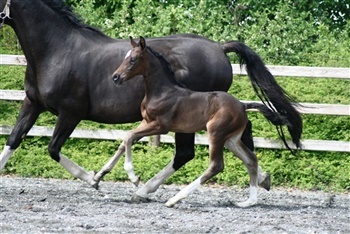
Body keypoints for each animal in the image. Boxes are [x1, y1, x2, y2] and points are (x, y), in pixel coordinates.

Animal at [112, 37, 298, 207]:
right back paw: (247, 202)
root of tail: (242, 105)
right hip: (231, 139)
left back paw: (175, 199)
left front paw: (133, 177)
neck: (162, 91)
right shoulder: (146, 122)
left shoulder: (160, 126)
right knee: (251, 159)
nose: (115, 77)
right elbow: (127, 138)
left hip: (216, 133)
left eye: (133, 59)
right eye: (125, 57)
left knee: (216, 166)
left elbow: (128, 137)